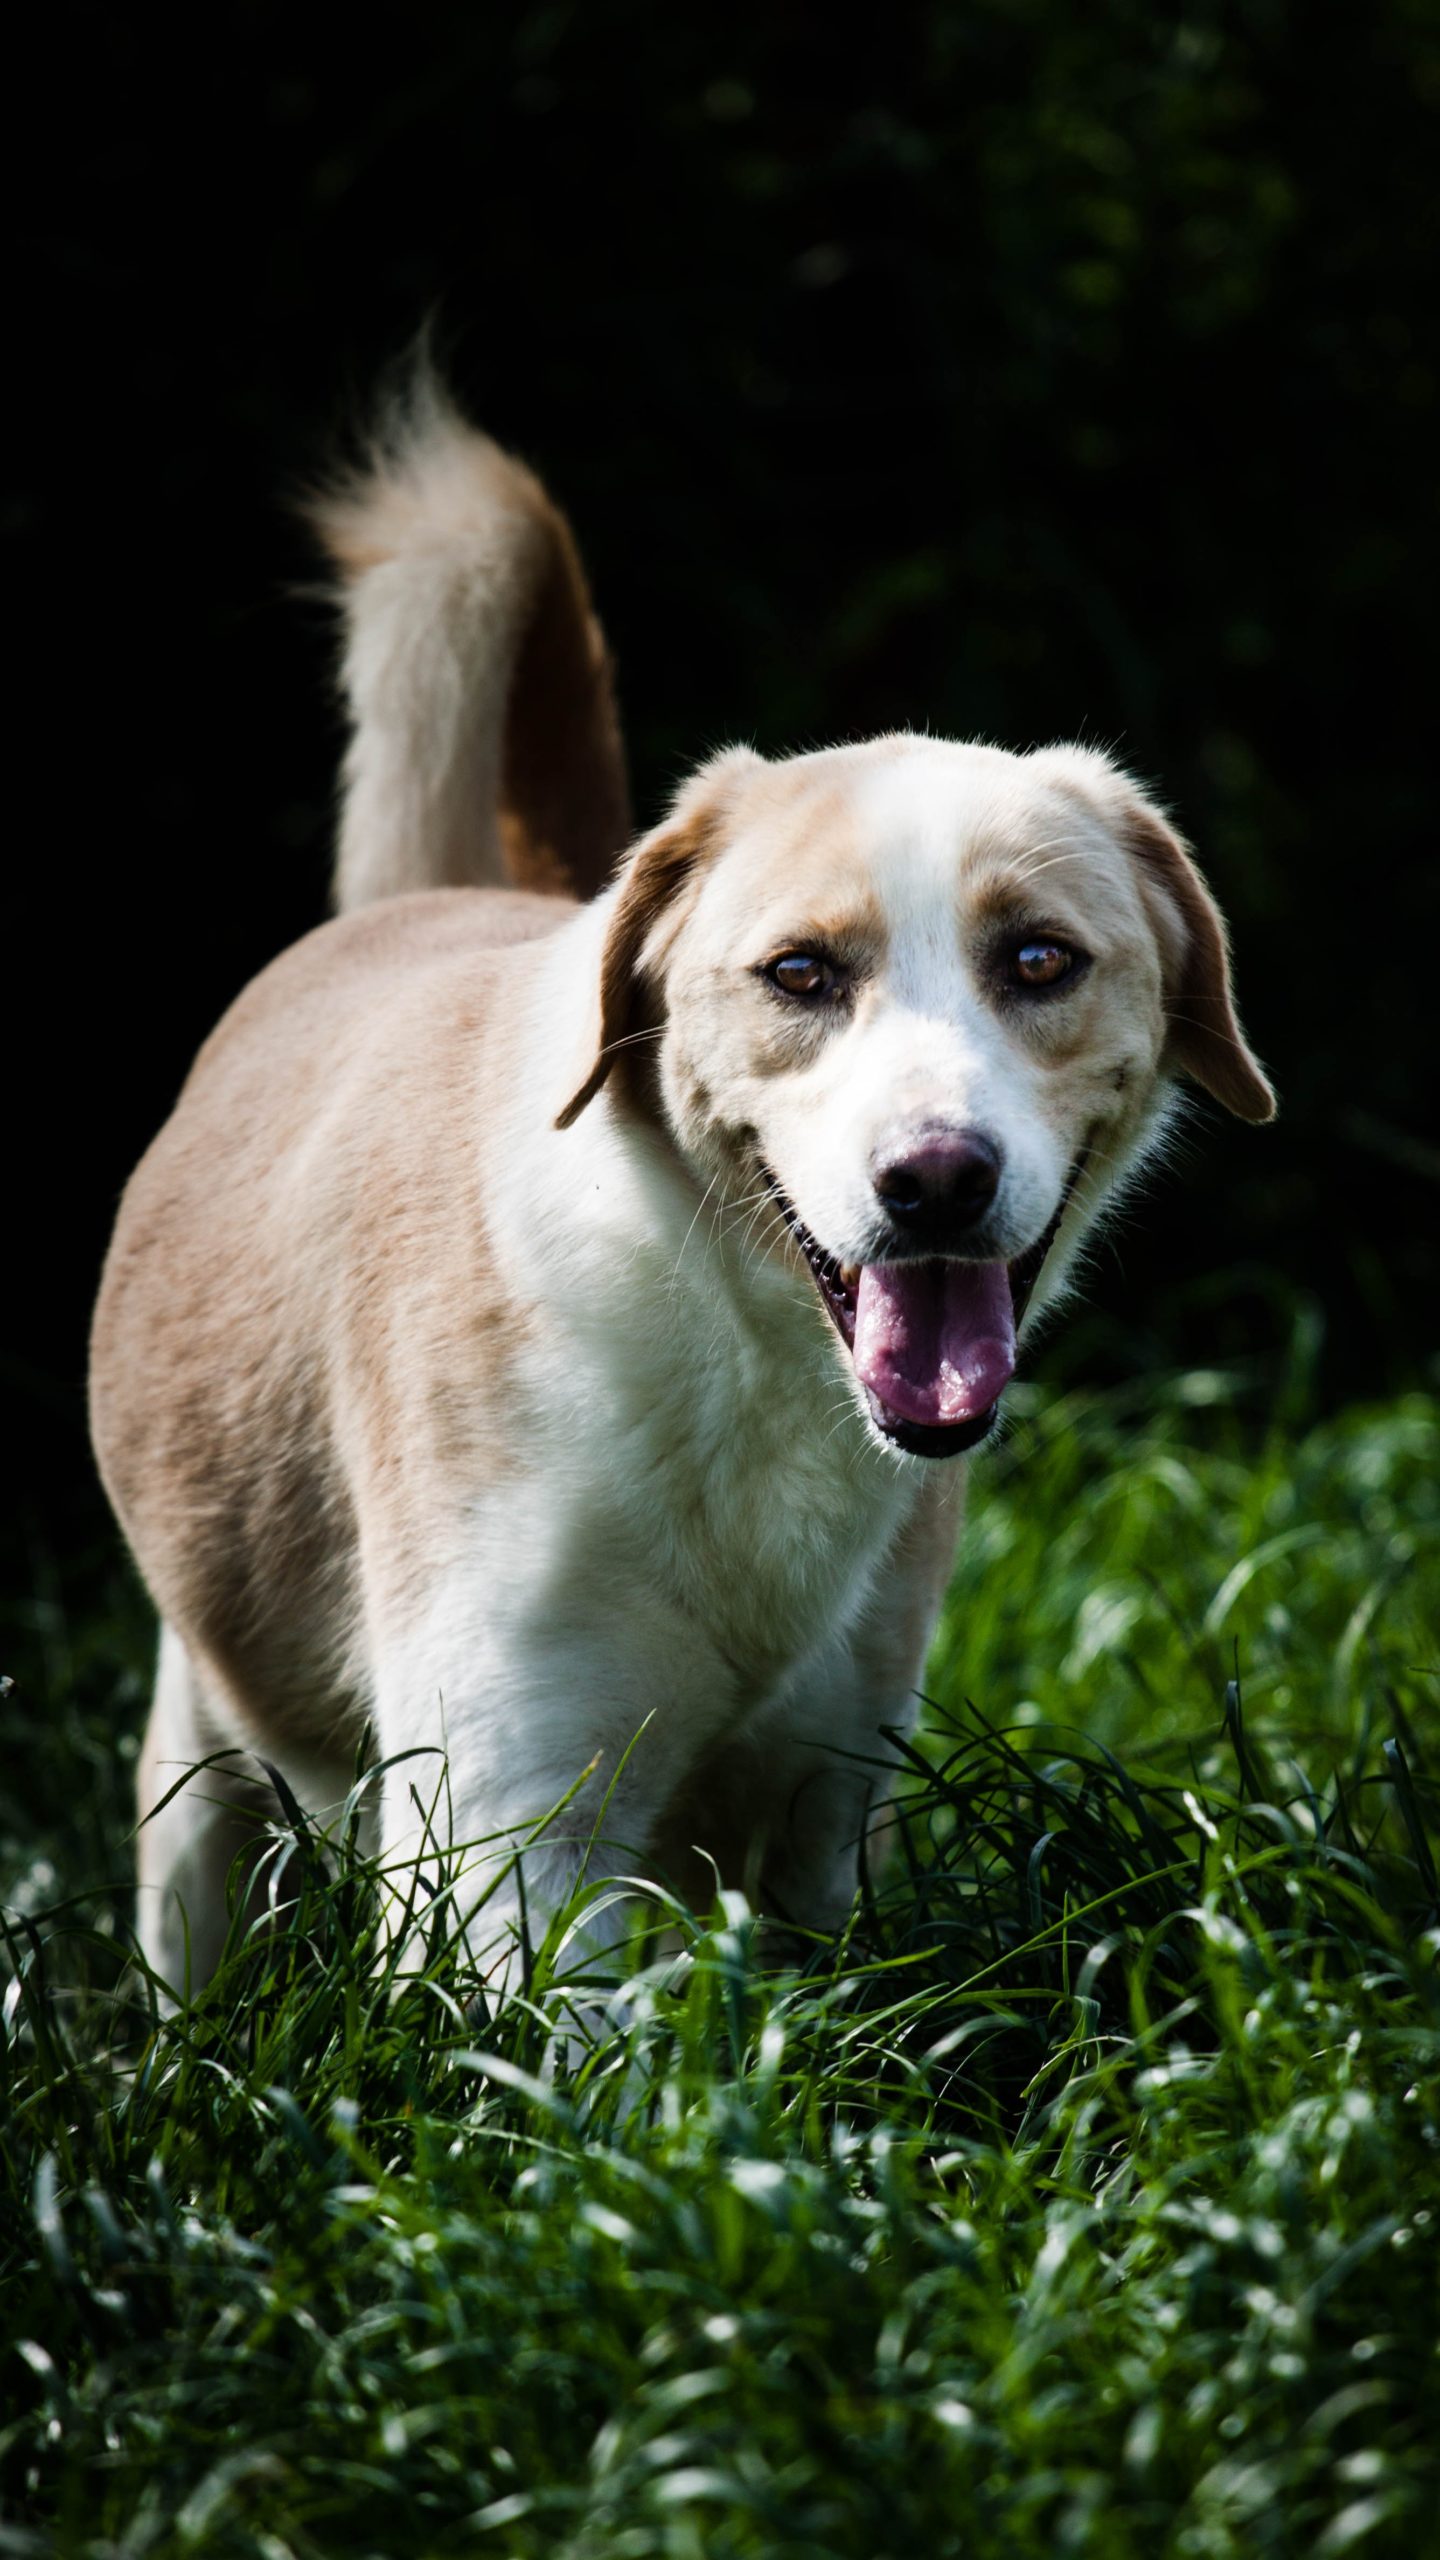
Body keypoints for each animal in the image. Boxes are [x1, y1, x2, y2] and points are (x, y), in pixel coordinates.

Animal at [89, 377, 1274, 1996]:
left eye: (1039, 959)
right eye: (800, 973)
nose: (936, 1182)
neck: (738, 1348)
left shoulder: (832, 1815)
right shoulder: (508, 1854)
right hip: (198, 1770)